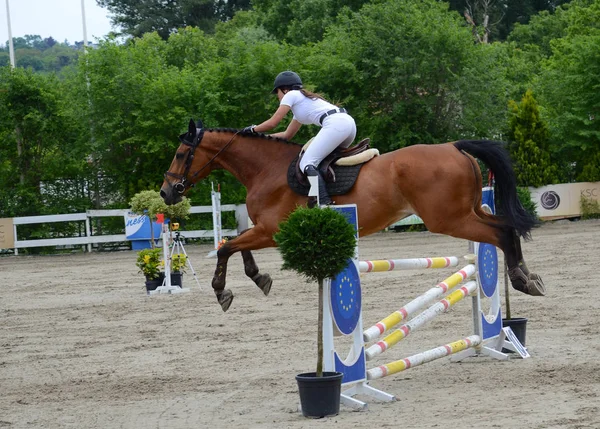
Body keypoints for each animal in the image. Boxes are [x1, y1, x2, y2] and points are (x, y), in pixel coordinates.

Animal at [162, 120, 548, 310]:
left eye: (181, 154)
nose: (167, 193)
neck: (265, 168)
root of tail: (455, 146)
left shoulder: (272, 230)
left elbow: (227, 246)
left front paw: (222, 292)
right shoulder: (264, 230)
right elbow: (237, 245)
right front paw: (260, 278)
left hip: (449, 219)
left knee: (500, 234)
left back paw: (521, 280)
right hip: (470, 210)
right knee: (506, 229)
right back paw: (529, 277)